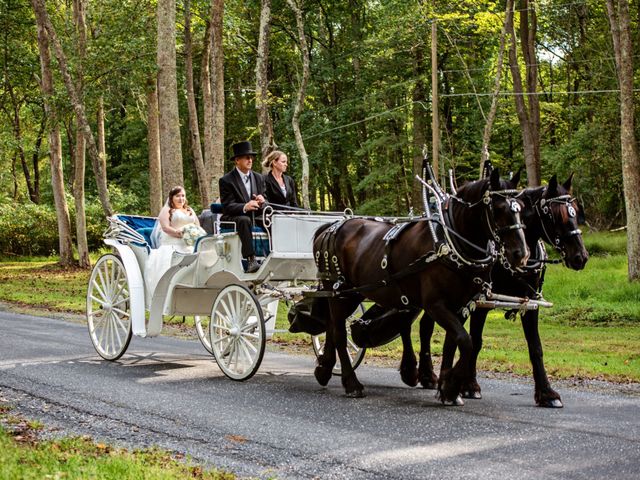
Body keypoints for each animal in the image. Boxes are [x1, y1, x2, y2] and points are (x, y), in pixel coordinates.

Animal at [312, 171, 528, 404]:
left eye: (521, 207)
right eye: (498, 209)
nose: (521, 254)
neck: (450, 243)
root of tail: (330, 227)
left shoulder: (461, 306)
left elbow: (452, 343)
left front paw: (445, 387)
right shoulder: (436, 305)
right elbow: (465, 341)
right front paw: (452, 386)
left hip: (352, 294)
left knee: (331, 327)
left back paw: (324, 369)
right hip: (339, 291)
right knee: (339, 333)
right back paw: (351, 383)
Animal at [418, 172, 588, 404]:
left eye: (576, 212)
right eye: (554, 214)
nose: (581, 257)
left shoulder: (529, 301)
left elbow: (535, 347)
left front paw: (546, 392)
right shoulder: (480, 302)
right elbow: (475, 341)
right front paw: (469, 386)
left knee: (428, 326)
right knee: (427, 328)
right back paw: (428, 376)